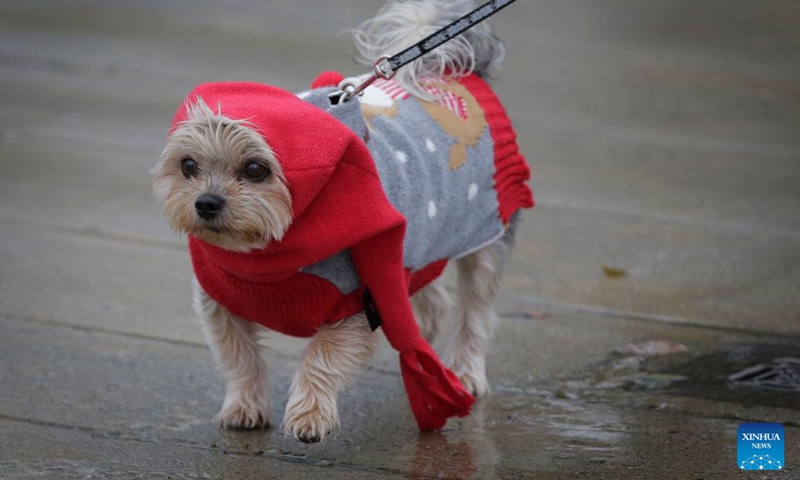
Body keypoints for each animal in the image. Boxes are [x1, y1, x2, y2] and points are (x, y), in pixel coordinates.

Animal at [153, 0, 536, 442]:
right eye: (188, 165)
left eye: (255, 169)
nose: (207, 203)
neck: (266, 256)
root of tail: (454, 69)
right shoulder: (220, 302)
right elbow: (239, 356)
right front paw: (245, 406)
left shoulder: (358, 301)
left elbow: (322, 354)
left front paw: (309, 416)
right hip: (418, 242)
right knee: (428, 290)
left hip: (487, 234)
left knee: (476, 310)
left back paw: (467, 371)